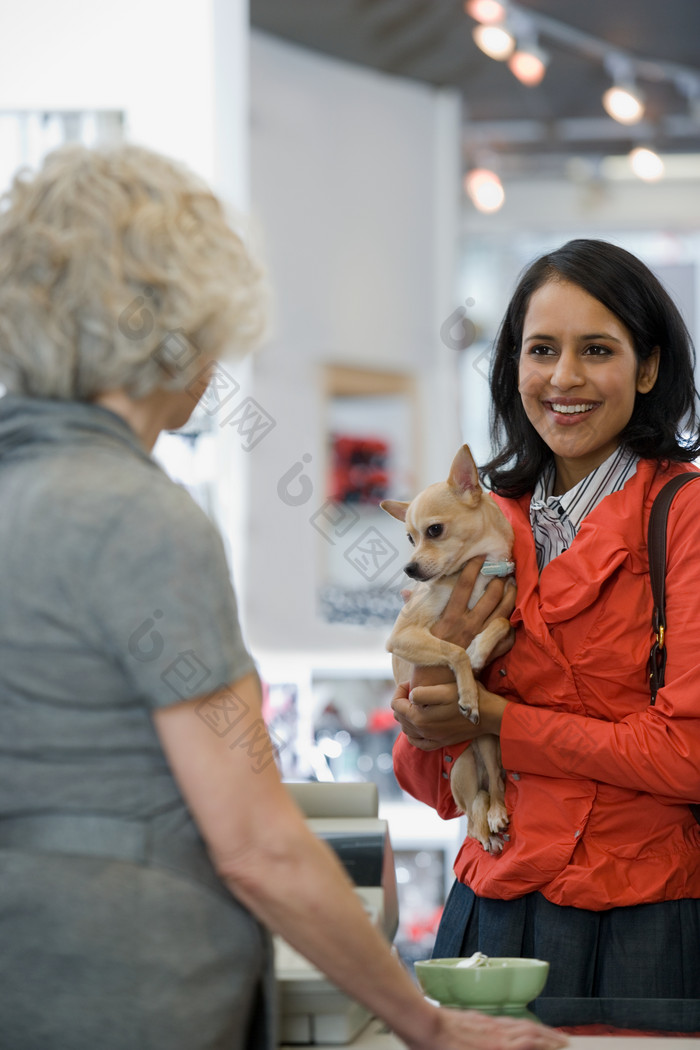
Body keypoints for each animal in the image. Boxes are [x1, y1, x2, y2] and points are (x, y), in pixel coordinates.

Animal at [384, 445, 514, 852]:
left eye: (434, 531)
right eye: (410, 539)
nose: (409, 569)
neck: (482, 569)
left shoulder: (506, 619)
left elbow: (501, 624)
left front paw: (479, 653)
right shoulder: (403, 636)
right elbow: (454, 650)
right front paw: (468, 688)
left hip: (488, 740)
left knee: (495, 784)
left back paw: (497, 812)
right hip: (459, 768)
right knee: (471, 811)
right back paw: (484, 830)